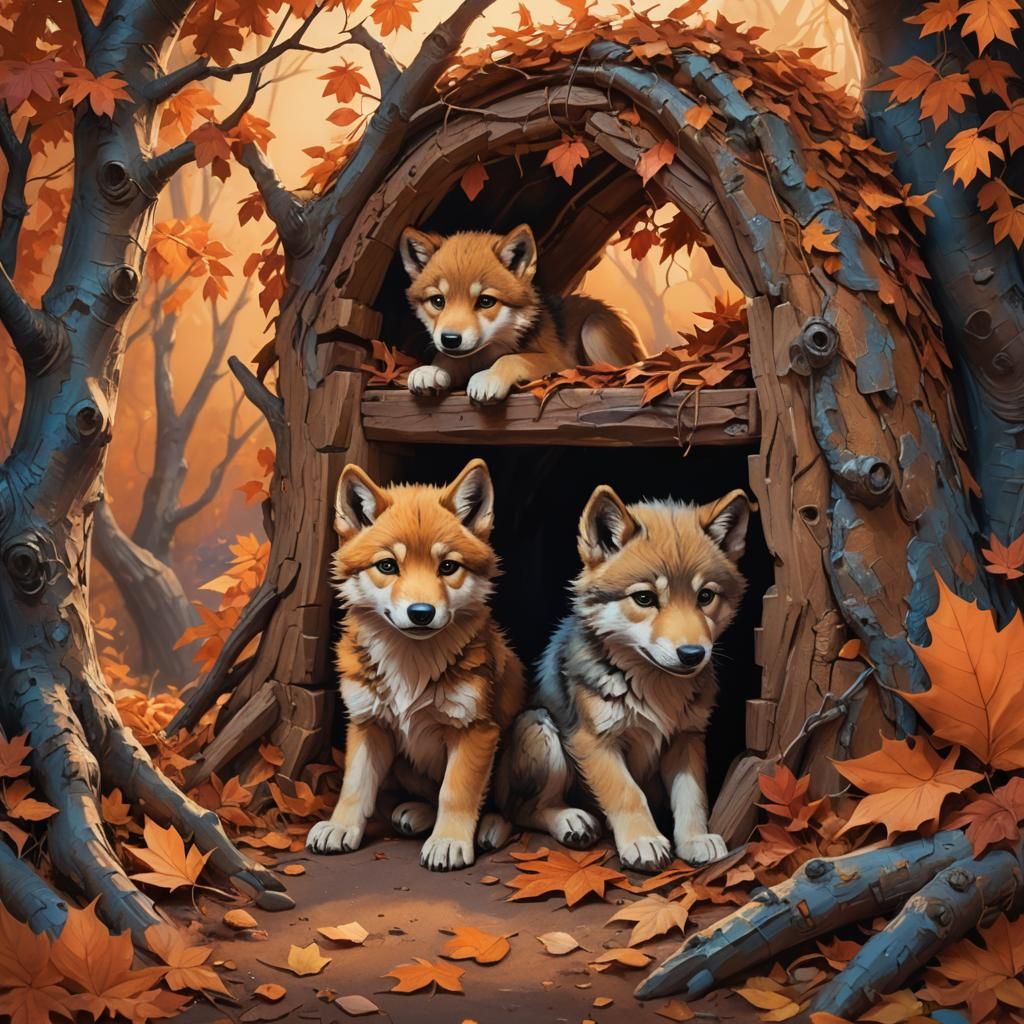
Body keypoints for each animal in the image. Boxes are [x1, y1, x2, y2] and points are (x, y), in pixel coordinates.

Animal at [306, 458, 525, 871]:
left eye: (448, 566)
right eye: (388, 565)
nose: (421, 613)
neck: (411, 666)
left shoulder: (477, 730)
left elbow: (456, 792)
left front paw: (449, 841)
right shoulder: (368, 723)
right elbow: (354, 787)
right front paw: (340, 828)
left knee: (511, 809)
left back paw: (489, 828)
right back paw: (415, 815)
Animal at [399, 224, 646, 404]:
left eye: (486, 301)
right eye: (438, 301)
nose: (450, 339)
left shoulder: (559, 360)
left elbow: (514, 358)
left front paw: (489, 377)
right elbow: (448, 360)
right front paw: (430, 370)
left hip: (593, 328)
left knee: (617, 371)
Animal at [496, 486, 750, 872]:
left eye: (705, 596)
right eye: (644, 598)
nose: (693, 654)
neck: (656, 688)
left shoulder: (686, 738)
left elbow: (692, 797)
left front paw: (694, 840)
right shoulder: (594, 741)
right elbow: (628, 794)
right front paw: (643, 842)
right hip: (538, 726)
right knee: (524, 809)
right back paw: (571, 820)